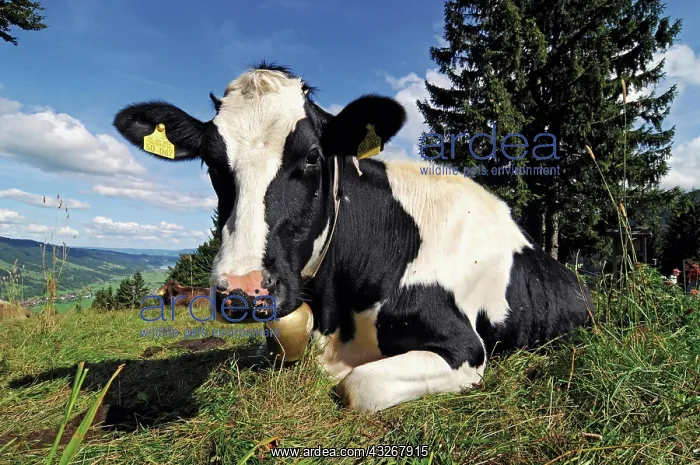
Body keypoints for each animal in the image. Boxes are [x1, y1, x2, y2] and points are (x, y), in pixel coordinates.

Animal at [113, 63, 594, 412]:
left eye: (312, 157)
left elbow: (356, 386)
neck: (336, 314)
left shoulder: (464, 348)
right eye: (212, 163)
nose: (242, 291)